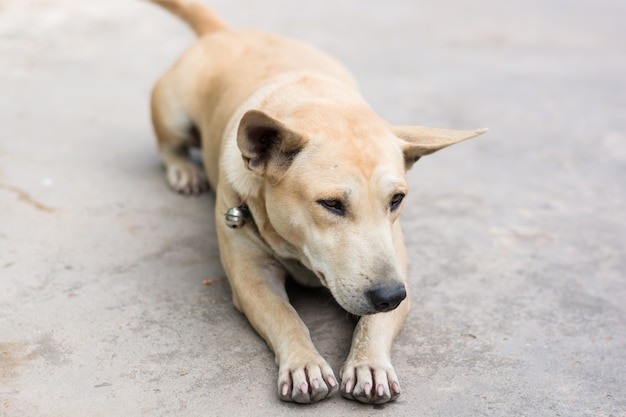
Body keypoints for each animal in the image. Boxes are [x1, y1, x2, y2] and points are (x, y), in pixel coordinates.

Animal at [147, 0, 488, 404]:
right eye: (331, 204)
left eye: (397, 199)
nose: (389, 295)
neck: (317, 104)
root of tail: (224, 33)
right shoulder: (250, 276)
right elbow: (285, 316)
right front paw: (304, 363)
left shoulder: (394, 266)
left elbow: (374, 323)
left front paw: (369, 363)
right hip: (174, 113)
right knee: (169, 145)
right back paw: (184, 170)